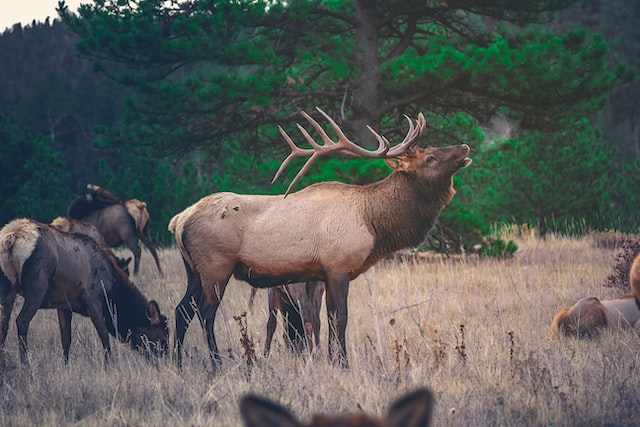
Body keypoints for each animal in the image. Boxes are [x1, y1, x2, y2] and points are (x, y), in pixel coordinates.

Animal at [0, 219, 170, 362]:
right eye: (162, 338)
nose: (167, 361)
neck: (112, 290)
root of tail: (11, 238)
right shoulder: (92, 298)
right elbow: (104, 336)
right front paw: (109, 366)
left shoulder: (63, 304)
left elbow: (66, 339)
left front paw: (66, 366)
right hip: (37, 286)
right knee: (21, 321)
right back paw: (25, 365)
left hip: (8, 289)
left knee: (4, 324)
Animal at [170, 107, 470, 368]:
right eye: (430, 158)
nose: (465, 148)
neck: (373, 223)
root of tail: (179, 221)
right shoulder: (338, 267)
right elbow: (340, 318)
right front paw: (343, 364)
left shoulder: (321, 274)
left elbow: (326, 320)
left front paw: (331, 360)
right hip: (216, 266)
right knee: (205, 314)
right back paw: (217, 363)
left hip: (193, 270)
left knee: (181, 310)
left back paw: (178, 363)